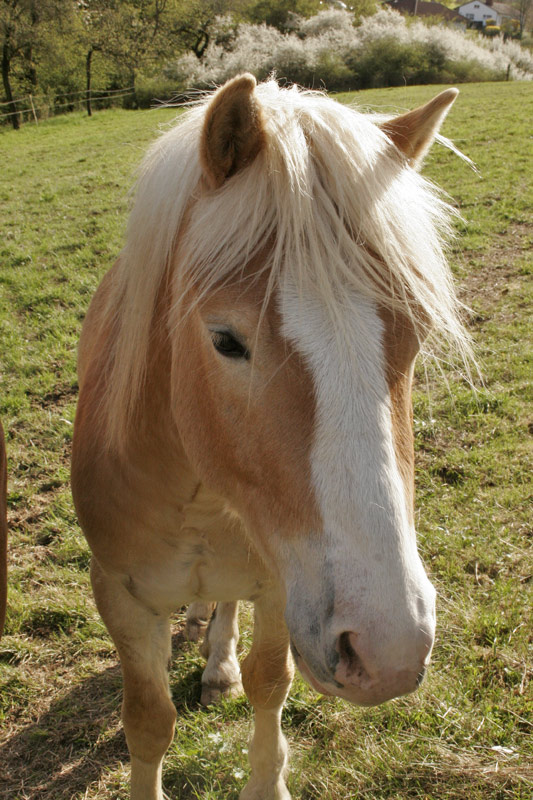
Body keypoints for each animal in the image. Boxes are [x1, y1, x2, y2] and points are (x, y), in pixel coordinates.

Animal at [71, 76, 470, 800]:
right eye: (226, 340)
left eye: (419, 329)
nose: (390, 650)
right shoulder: (118, 593)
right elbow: (148, 720)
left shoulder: (286, 588)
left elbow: (268, 684)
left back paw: (217, 663)